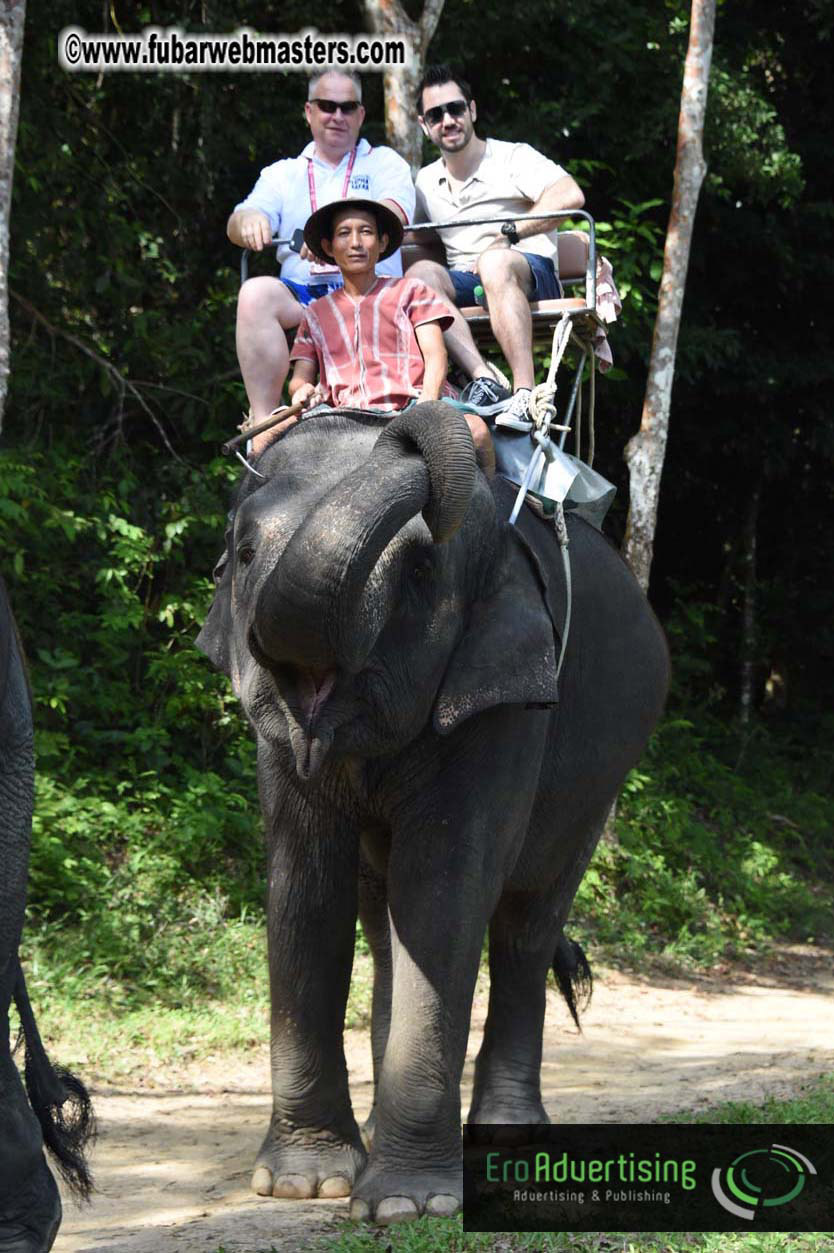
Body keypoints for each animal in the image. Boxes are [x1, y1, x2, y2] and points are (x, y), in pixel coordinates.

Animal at [196, 402, 669, 1224]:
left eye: (420, 575)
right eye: (246, 553)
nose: (412, 420)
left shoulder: (503, 700)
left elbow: (444, 891)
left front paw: (405, 1205)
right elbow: (305, 887)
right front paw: (305, 1184)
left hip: (603, 776)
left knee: (525, 926)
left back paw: (507, 1135)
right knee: (384, 919)